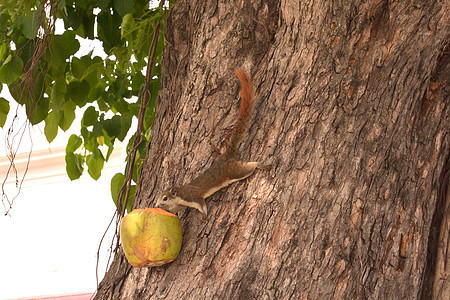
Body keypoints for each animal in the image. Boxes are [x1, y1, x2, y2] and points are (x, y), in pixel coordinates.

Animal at [156, 68, 258, 220]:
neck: (180, 194)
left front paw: (204, 216)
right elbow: (177, 209)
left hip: (233, 172)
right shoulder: (182, 204)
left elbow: (201, 204)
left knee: (248, 169)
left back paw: (260, 165)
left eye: (165, 198)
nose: (157, 205)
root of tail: (225, 158)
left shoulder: (193, 197)